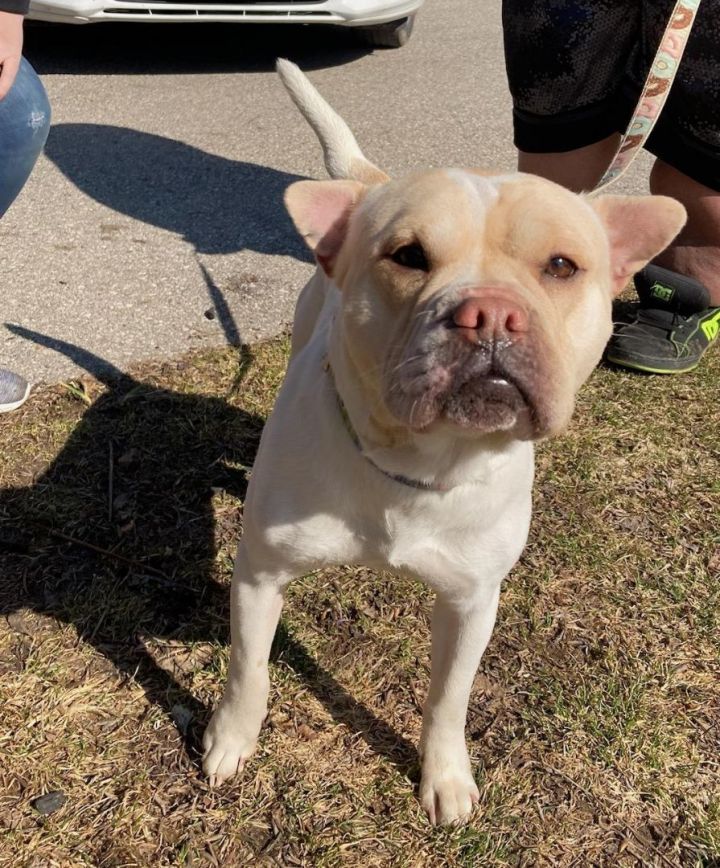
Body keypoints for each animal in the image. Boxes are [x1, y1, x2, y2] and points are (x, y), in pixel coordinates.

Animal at [204, 59, 688, 820]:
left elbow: (448, 699)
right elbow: (248, 668)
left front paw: (446, 775)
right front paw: (231, 739)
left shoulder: (471, 604)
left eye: (561, 266)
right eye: (408, 256)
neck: (418, 458)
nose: (489, 313)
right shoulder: (259, 576)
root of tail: (370, 178)